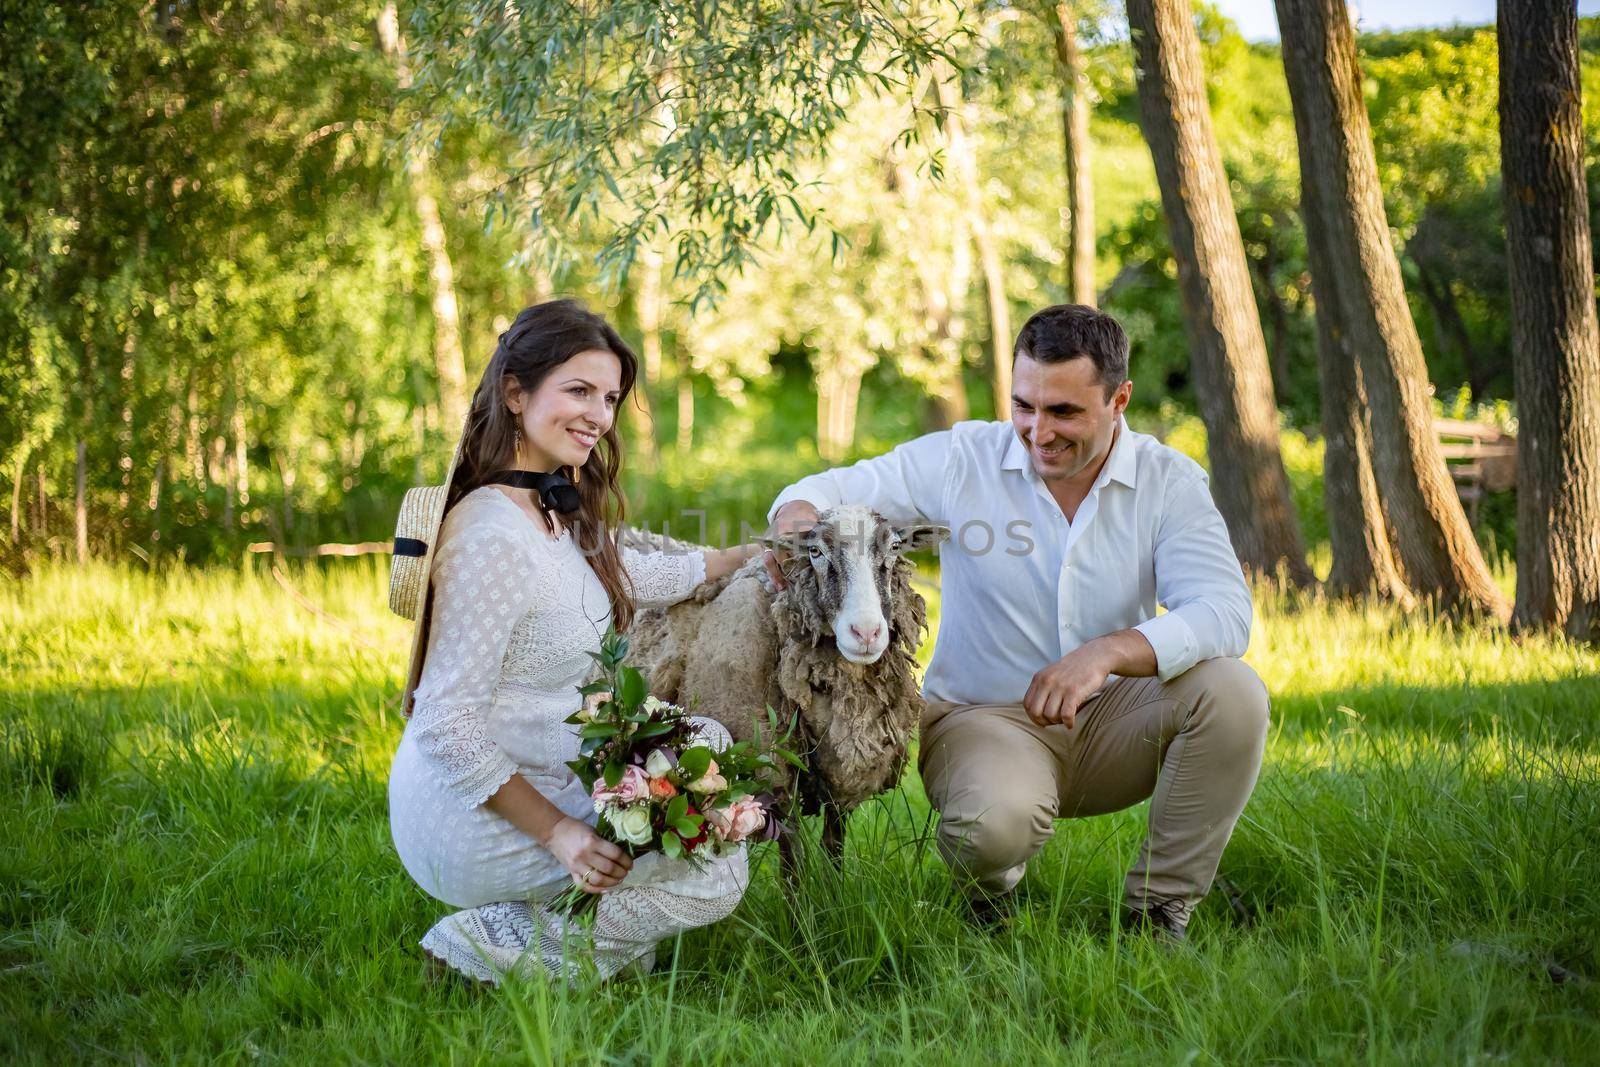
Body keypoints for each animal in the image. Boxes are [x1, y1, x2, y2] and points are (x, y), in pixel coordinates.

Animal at [624, 508, 947, 857]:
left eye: (894, 548)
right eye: (815, 551)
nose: (866, 632)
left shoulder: (840, 772)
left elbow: (833, 845)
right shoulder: (770, 769)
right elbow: (796, 855)